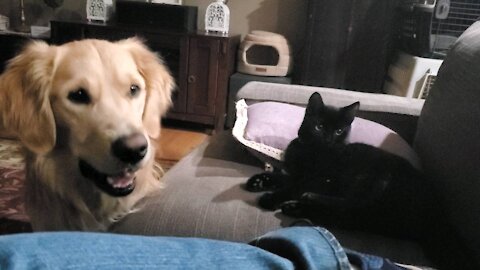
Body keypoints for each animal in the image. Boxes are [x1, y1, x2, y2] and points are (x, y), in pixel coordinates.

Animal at [248, 92, 438, 238]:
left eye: (339, 131)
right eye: (319, 126)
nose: (328, 139)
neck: (313, 151)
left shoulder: (320, 179)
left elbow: (293, 187)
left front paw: (271, 198)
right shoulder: (297, 173)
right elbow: (283, 177)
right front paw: (259, 181)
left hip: (375, 179)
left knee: (353, 207)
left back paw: (306, 199)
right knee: (349, 217)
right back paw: (297, 207)